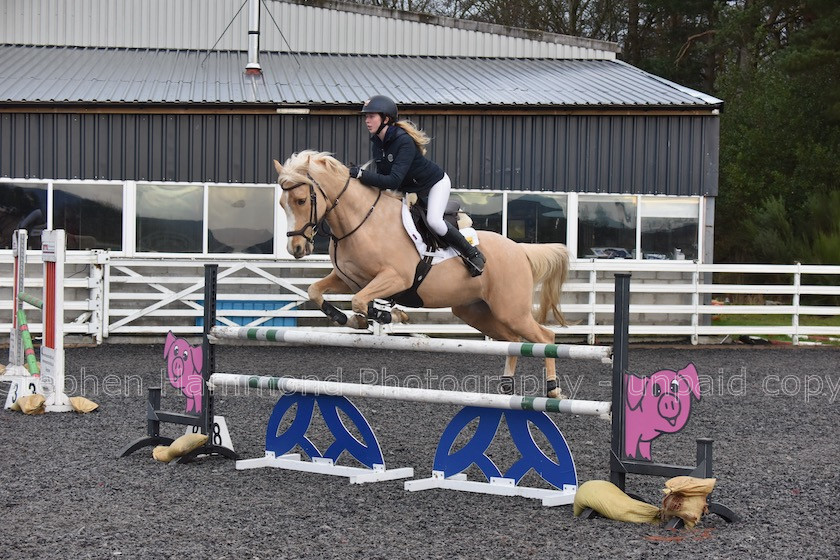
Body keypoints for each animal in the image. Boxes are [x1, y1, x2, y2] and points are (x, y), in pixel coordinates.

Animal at [276, 151, 572, 398]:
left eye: (301, 200)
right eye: (281, 203)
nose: (296, 249)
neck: (362, 220)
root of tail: (520, 250)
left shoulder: (395, 278)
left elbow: (361, 301)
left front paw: (391, 315)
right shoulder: (347, 279)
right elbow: (316, 291)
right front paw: (349, 320)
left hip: (511, 311)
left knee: (546, 337)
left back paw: (553, 389)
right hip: (477, 312)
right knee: (514, 341)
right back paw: (507, 386)